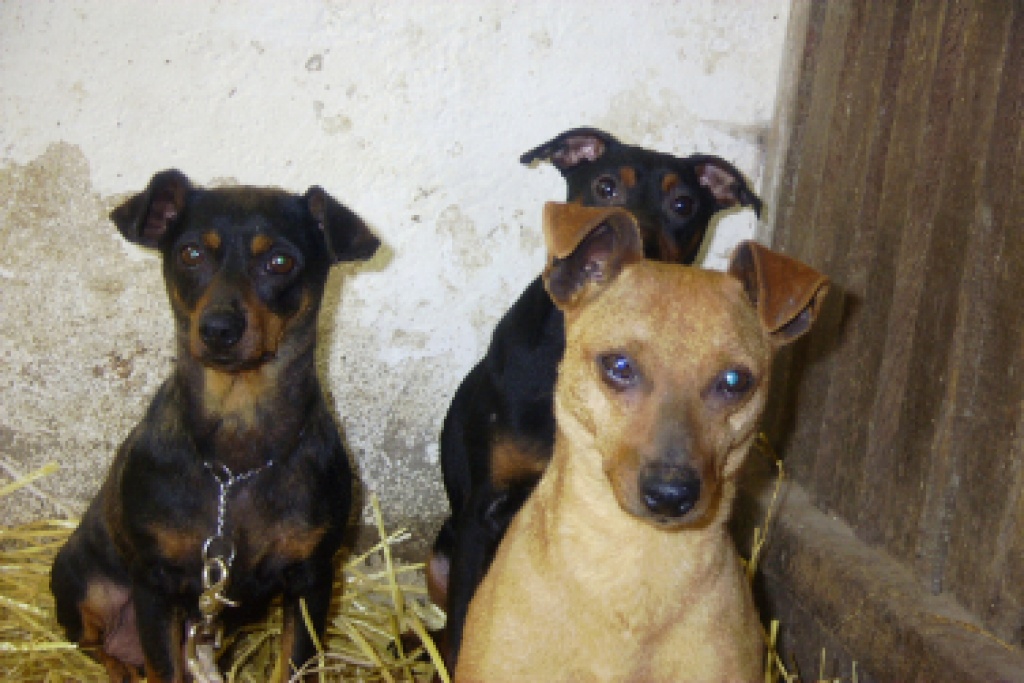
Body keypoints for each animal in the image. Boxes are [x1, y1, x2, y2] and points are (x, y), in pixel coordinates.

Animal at [50, 167, 380, 679]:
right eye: (190, 253)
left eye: (281, 261)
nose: (218, 329)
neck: (235, 457)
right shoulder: (157, 584)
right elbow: (166, 669)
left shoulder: (311, 578)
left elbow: (293, 664)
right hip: (85, 583)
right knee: (91, 641)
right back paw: (121, 666)